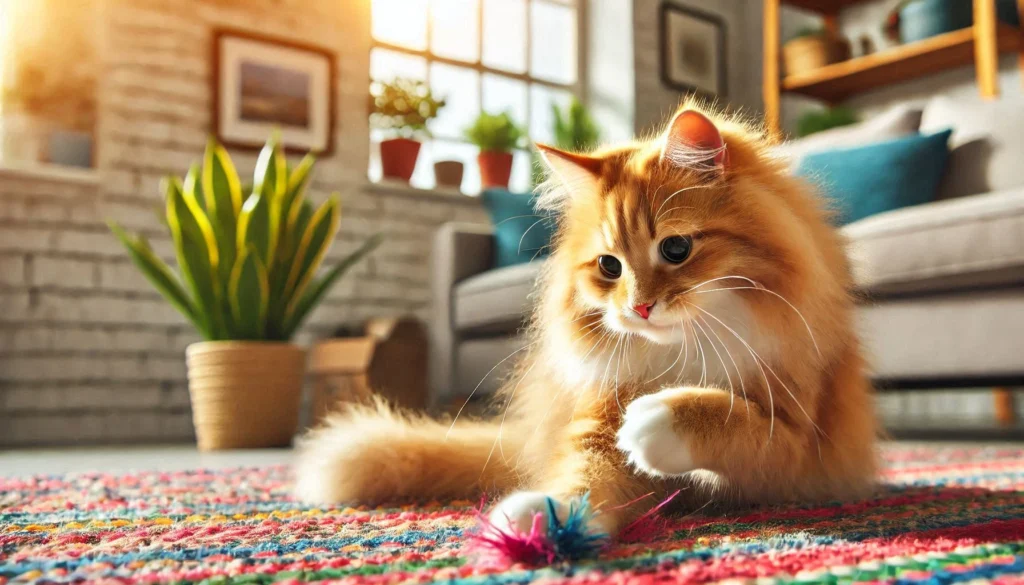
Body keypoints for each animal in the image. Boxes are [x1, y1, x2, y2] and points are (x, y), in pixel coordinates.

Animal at [292, 103, 876, 536]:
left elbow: (732, 418)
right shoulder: (594, 420)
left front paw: (656, 417)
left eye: (677, 248)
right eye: (609, 267)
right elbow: (585, 474)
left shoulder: (795, 442)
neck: (681, 351)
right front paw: (544, 520)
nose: (639, 307)